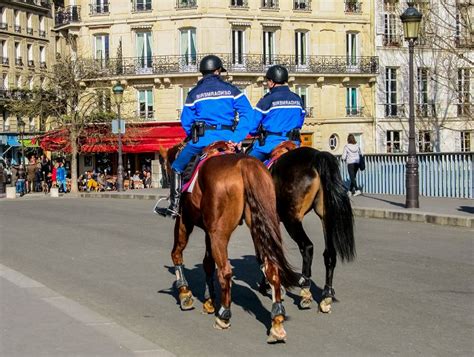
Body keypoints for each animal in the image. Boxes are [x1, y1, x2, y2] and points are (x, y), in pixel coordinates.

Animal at [161, 142, 298, 342]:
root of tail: (244, 164)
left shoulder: (184, 221)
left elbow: (177, 253)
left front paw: (185, 293)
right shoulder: (208, 232)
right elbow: (207, 264)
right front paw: (209, 300)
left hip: (219, 234)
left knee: (225, 271)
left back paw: (224, 315)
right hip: (259, 226)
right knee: (272, 268)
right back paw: (277, 321)